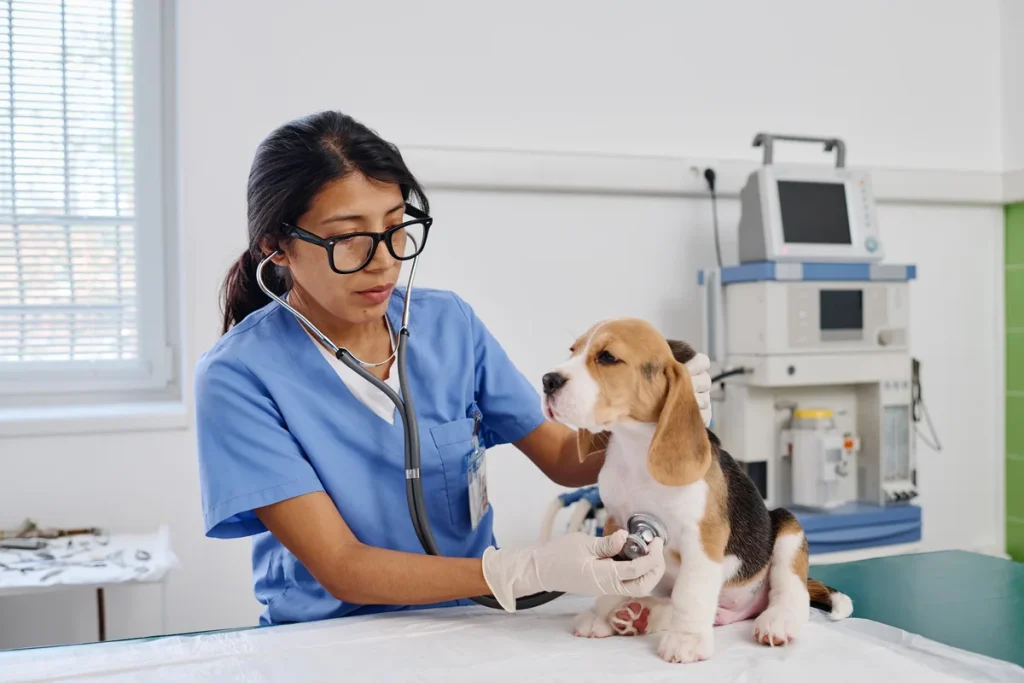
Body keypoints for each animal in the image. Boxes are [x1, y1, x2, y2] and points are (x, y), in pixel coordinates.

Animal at [540, 319, 851, 663]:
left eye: (607, 357)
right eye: (572, 351)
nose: (547, 380)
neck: (636, 450)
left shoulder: (703, 537)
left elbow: (691, 591)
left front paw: (686, 639)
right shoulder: (616, 525)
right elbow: (613, 576)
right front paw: (600, 613)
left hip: (787, 530)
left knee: (791, 592)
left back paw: (777, 621)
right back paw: (638, 615)